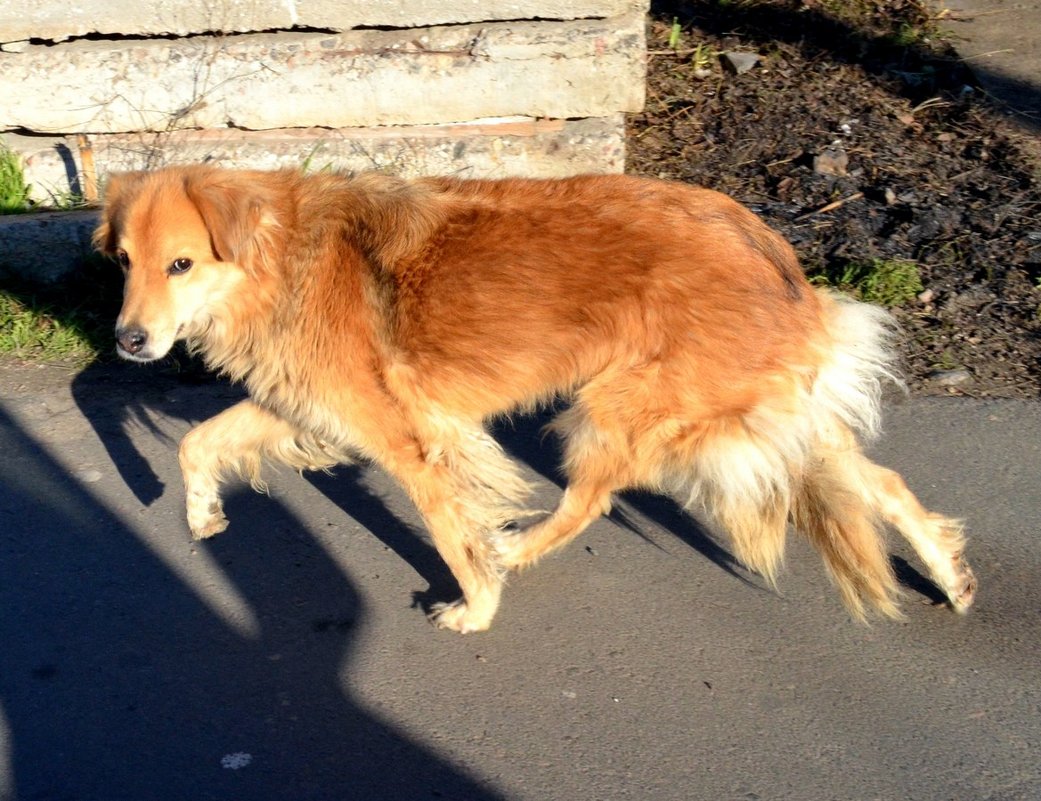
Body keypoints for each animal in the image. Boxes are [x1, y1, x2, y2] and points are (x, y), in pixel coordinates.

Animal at [95, 166, 974, 633]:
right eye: (125, 261)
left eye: (180, 264)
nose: (128, 341)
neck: (278, 257)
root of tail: (770, 247)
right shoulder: (308, 407)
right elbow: (198, 442)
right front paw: (201, 512)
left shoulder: (410, 439)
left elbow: (450, 532)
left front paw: (477, 603)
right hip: (751, 409)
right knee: (880, 481)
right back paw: (948, 571)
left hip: (626, 408)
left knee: (591, 500)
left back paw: (512, 552)